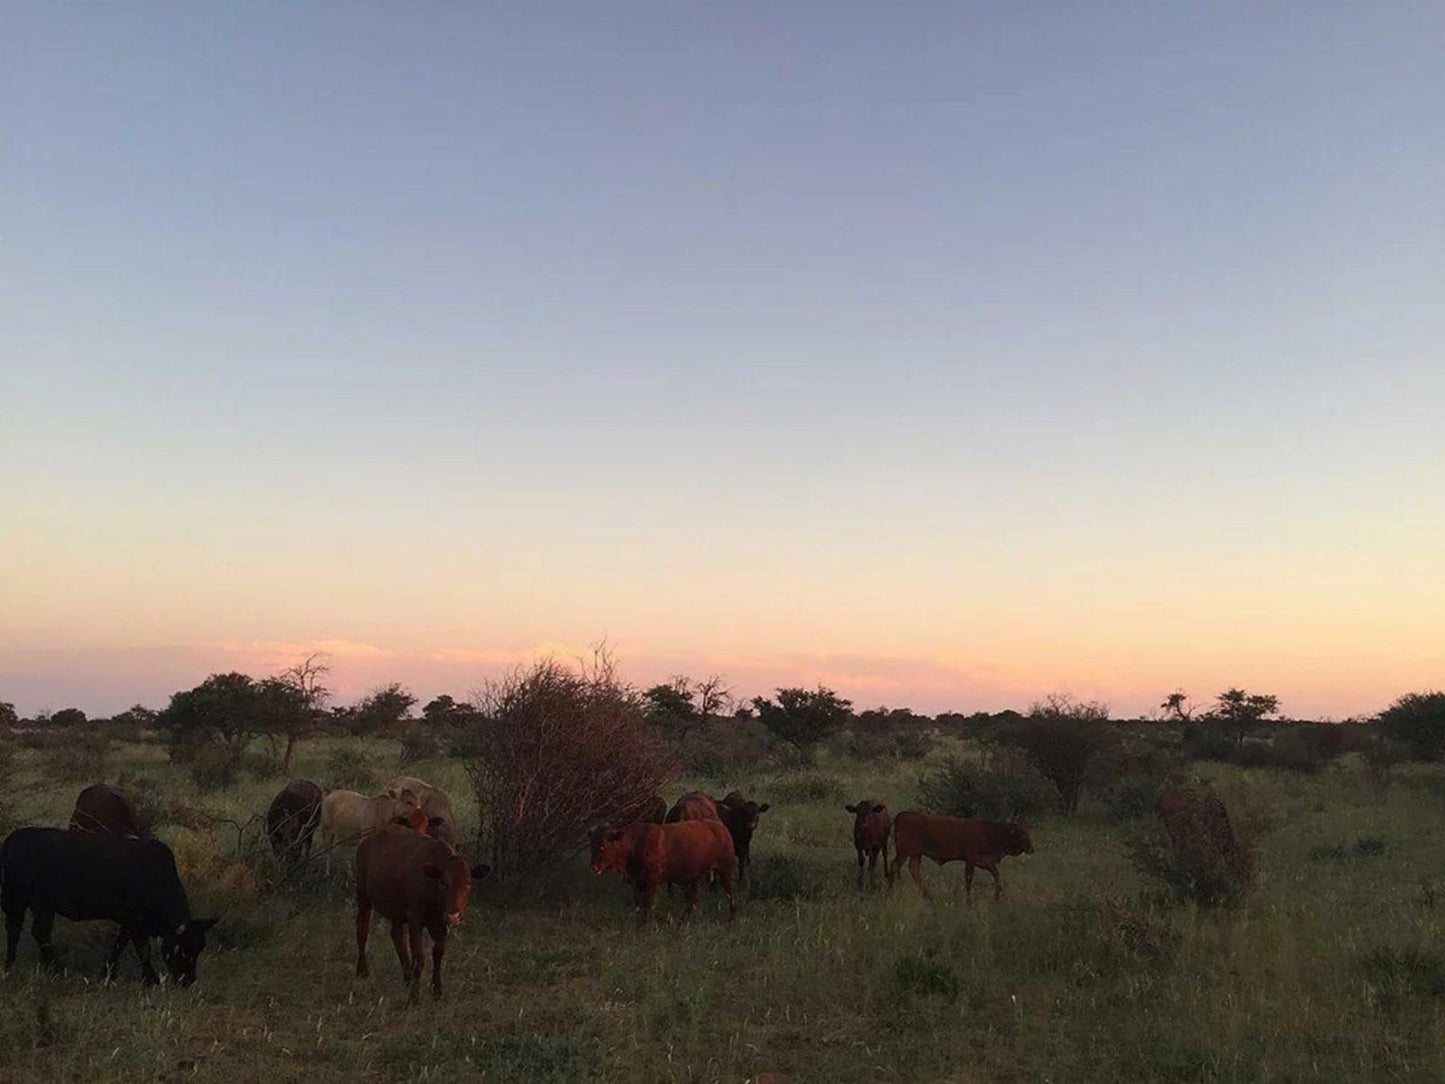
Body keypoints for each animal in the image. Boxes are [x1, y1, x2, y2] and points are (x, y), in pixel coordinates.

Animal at [0, 826, 215, 988]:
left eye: (199, 949)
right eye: (184, 950)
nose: (188, 982)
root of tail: (15, 838)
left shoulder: (133, 924)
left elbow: (123, 946)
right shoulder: (133, 922)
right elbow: (139, 949)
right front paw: (149, 978)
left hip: (18, 903)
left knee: (15, 931)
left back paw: (10, 967)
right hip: (40, 904)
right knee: (39, 932)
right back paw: (57, 969)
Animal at [354, 826, 491, 1005]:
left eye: (468, 883)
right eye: (444, 882)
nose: (454, 916)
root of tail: (367, 840)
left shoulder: (440, 923)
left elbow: (438, 953)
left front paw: (437, 991)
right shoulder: (415, 919)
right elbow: (419, 959)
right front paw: (414, 997)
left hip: (397, 911)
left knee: (396, 934)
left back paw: (406, 978)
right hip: (363, 897)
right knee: (362, 931)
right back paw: (362, 970)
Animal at [586, 820, 739, 919]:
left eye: (603, 846)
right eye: (591, 845)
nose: (593, 867)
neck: (635, 843)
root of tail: (721, 827)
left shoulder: (651, 882)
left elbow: (648, 904)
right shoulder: (637, 882)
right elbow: (640, 903)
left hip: (725, 871)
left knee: (730, 895)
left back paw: (731, 918)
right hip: (695, 878)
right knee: (693, 900)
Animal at [884, 809, 1034, 901]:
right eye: (1022, 834)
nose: (1032, 849)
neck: (993, 832)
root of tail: (903, 814)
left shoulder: (984, 862)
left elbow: (996, 875)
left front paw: (997, 895)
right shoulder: (971, 860)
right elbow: (969, 880)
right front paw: (968, 900)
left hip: (915, 854)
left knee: (913, 869)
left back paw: (927, 896)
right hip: (905, 852)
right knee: (895, 866)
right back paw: (890, 892)